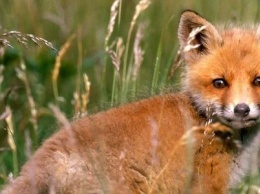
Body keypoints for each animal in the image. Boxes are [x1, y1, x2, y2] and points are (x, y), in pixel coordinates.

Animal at [1, 10, 260, 194]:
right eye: (220, 83)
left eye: (258, 80)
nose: (242, 109)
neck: (206, 123)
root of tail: (43, 155)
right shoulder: (207, 186)